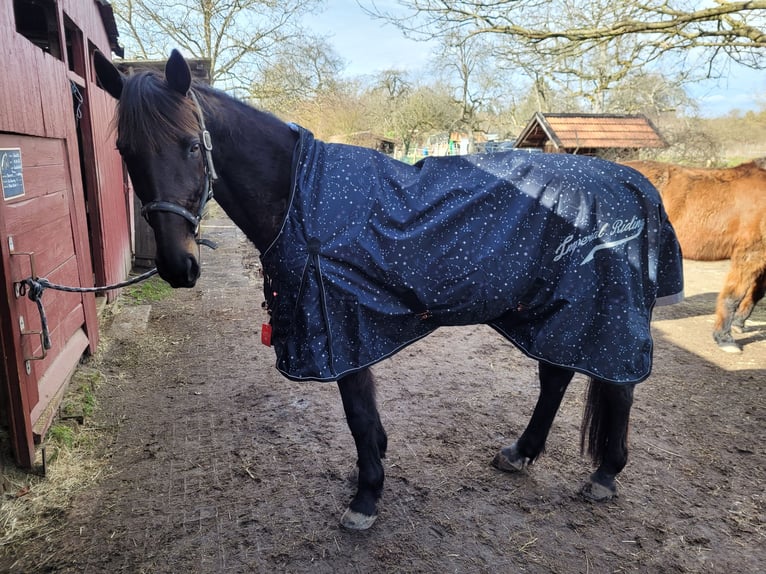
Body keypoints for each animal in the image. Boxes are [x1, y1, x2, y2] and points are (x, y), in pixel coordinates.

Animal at [94, 51, 684, 532]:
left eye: (192, 145)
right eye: (124, 151)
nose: (177, 266)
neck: (302, 198)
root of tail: (637, 184)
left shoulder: (340, 328)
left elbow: (357, 415)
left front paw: (366, 498)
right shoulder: (347, 330)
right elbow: (367, 420)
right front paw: (372, 472)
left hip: (602, 311)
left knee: (617, 384)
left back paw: (605, 475)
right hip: (549, 310)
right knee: (557, 375)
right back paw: (520, 453)